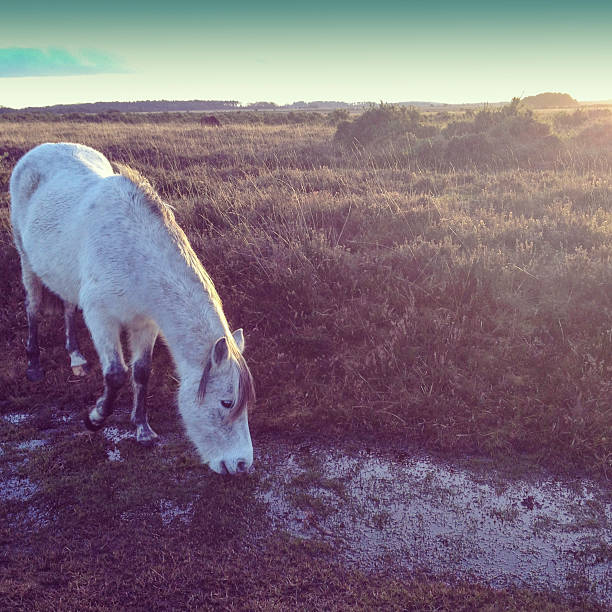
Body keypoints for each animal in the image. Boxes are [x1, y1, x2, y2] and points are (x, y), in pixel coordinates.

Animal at [10, 142, 253, 474]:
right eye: (226, 402)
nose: (242, 464)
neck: (136, 256)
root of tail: (42, 148)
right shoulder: (101, 318)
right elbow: (116, 374)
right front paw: (94, 419)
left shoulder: (145, 323)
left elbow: (141, 372)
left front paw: (143, 429)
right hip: (26, 259)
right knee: (33, 307)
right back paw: (34, 365)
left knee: (69, 307)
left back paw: (76, 358)